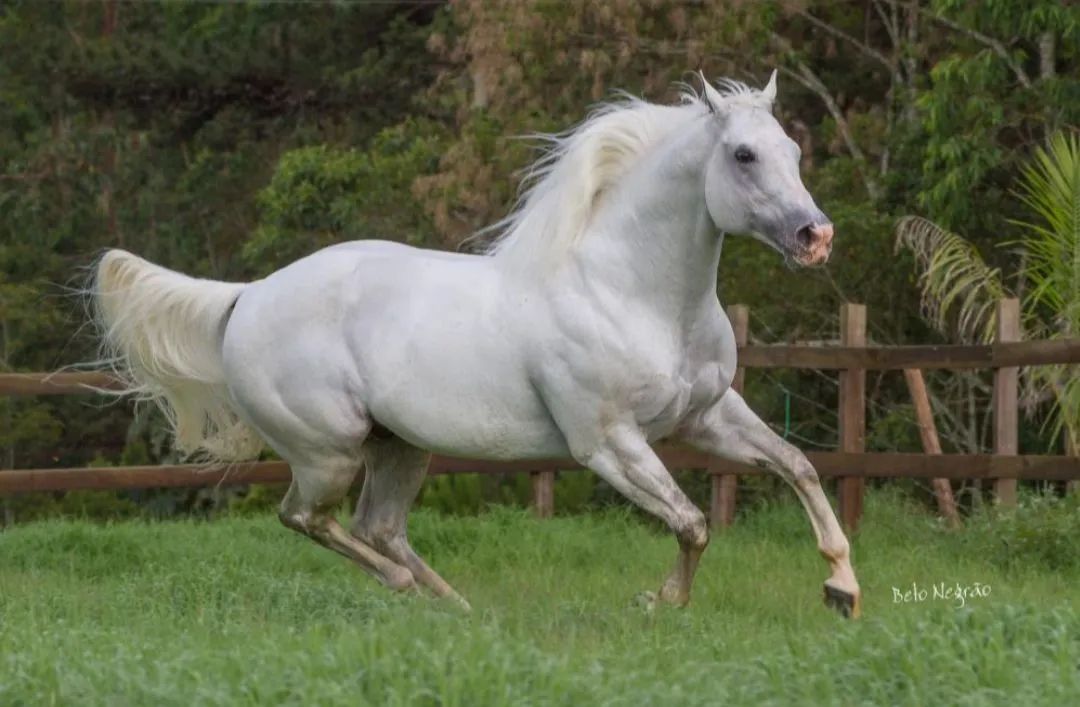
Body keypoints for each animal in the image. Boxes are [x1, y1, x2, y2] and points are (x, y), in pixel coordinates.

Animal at [91, 71, 861, 617]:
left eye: (793, 150)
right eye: (743, 154)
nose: (816, 237)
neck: (633, 293)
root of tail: (248, 296)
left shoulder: (707, 416)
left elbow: (800, 468)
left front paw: (843, 589)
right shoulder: (609, 442)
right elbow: (694, 522)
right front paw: (661, 600)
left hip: (399, 445)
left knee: (377, 526)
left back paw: (455, 605)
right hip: (328, 452)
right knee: (309, 518)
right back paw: (415, 591)